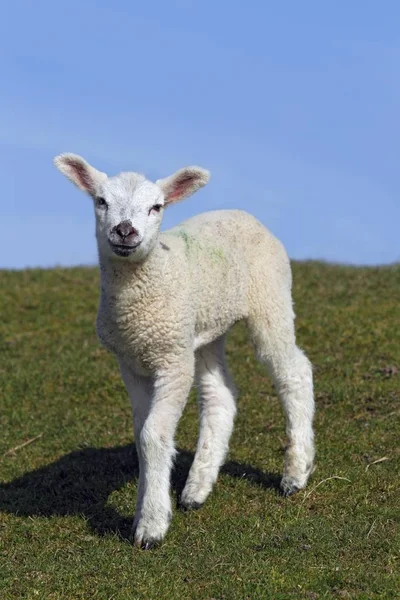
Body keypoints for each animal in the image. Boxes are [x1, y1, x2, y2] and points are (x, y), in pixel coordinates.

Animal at [54, 154, 316, 548]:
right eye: (101, 201)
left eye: (156, 206)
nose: (125, 231)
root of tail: (243, 214)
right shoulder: (131, 361)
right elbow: (142, 437)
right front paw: (148, 507)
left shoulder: (172, 358)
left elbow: (153, 435)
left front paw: (151, 526)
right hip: (206, 327)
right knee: (221, 394)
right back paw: (197, 489)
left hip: (270, 297)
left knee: (293, 372)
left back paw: (295, 475)